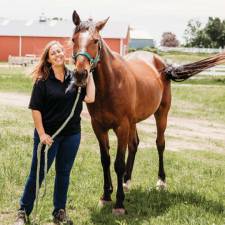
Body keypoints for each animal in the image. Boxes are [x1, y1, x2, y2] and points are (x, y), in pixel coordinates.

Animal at [71, 10, 225, 214]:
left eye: (96, 41)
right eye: (73, 39)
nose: (80, 74)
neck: (111, 84)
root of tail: (161, 63)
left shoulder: (121, 126)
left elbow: (118, 163)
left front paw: (119, 204)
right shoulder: (99, 127)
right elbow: (105, 160)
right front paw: (106, 196)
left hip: (161, 114)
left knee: (160, 144)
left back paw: (161, 182)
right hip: (133, 121)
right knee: (134, 144)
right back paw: (127, 182)